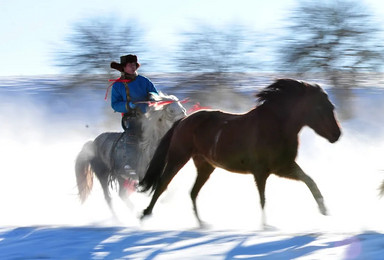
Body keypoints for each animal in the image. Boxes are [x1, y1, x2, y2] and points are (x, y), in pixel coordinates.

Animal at [139, 79, 342, 228]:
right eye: (320, 107)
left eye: (331, 106)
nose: (337, 135)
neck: (276, 127)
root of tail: (183, 120)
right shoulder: (261, 171)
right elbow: (262, 199)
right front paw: (266, 226)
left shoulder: (283, 167)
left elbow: (310, 181)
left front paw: (324, 210)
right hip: (178, 158)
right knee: (162, 184)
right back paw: (145, 214)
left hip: (205, 166)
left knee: (193, 192)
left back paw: (202, 224)